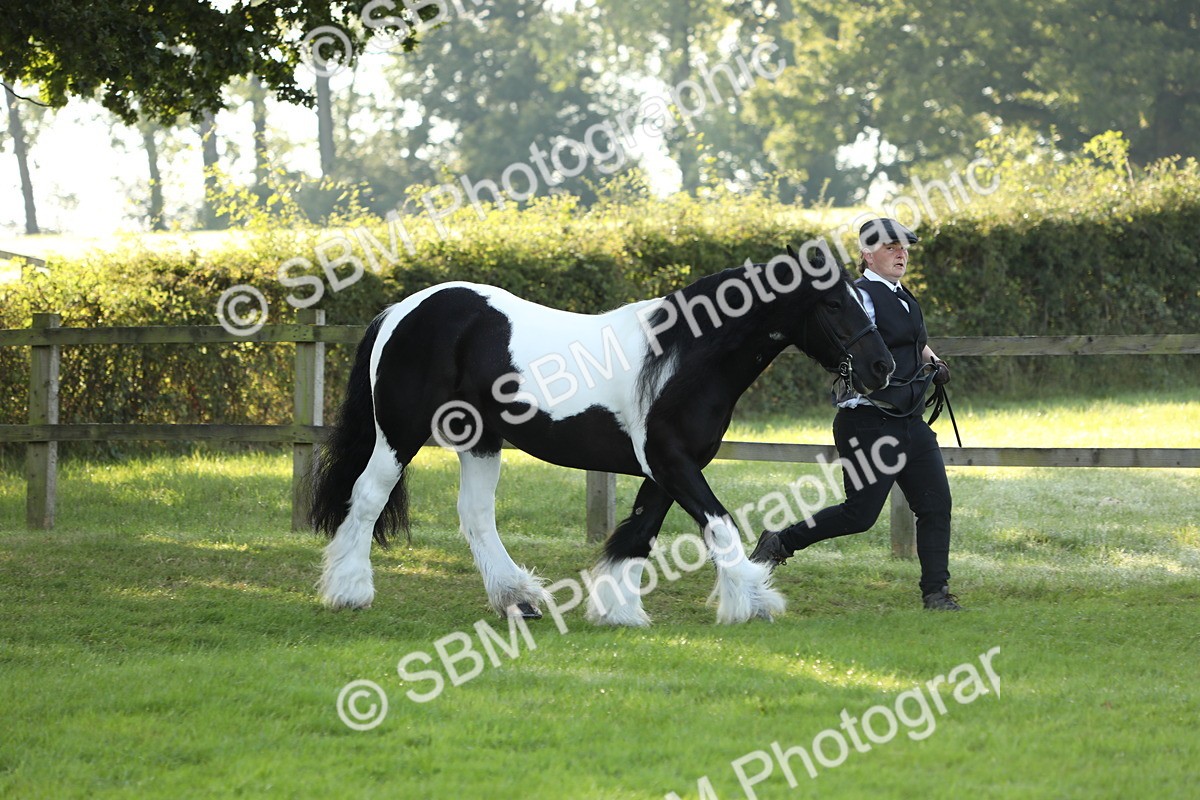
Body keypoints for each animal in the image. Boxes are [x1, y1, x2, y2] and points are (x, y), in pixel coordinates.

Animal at [310, 243, 893, 625]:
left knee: (475, 516)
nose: (882, 367)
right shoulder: (672, 462)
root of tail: (401, 311)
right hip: (399, 433)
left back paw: (518, 599)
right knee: (366, 498)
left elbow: (637, 536)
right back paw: (350, 592)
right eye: (834, 303)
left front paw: (617, 609)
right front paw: (753, 601)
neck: (685, 357)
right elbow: (720, 525)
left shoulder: (666, 470)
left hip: (480, 440)